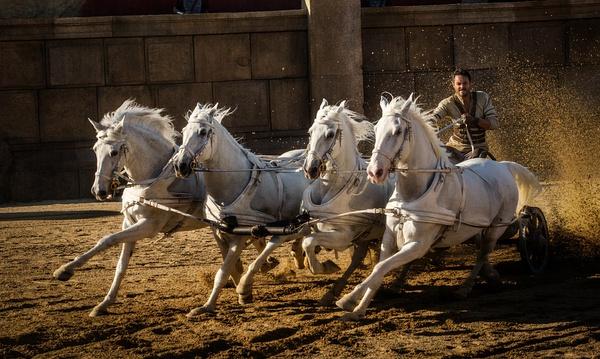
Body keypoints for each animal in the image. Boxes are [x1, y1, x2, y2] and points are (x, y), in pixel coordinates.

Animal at [52, 100, 211, 316]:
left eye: (114, 152)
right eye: (94, 149)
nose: (99, 191)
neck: (152, 179)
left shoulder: (148, 226)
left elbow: (107, 240)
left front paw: (65, 270)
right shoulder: (129, 222)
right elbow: (121, 264)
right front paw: (104, 303)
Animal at [171, 103, 308, 316]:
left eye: (203, 132)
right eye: (184, 131)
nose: (180, 165)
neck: (234, 182)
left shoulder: (239, 235)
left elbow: (223, 271)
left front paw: (210, 305)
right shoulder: (219, 232)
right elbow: (231, 268)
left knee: (285, 237)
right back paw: (296, 256)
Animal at [300, 99, 394, 306]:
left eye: (330, 134)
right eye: (310, 131)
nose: (310, 169)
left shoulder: (343, 236)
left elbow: (309, 243)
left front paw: (325, 267)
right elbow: (306, 241)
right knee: (358, 258)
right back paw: (333, 292)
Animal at [336, 95, 540, 320]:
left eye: (397, 131)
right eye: (377, 128)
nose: (374, 172)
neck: (412, 195)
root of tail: (503, 166)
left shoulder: (418, 244)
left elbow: (382, 266)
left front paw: (347, 299)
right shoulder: (389, 238)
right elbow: (378, 269)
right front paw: (358, 308)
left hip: (497, 227)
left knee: (483, 254)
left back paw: (465, 288)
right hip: (477, 227)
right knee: (480, 251)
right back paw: (489, 277)